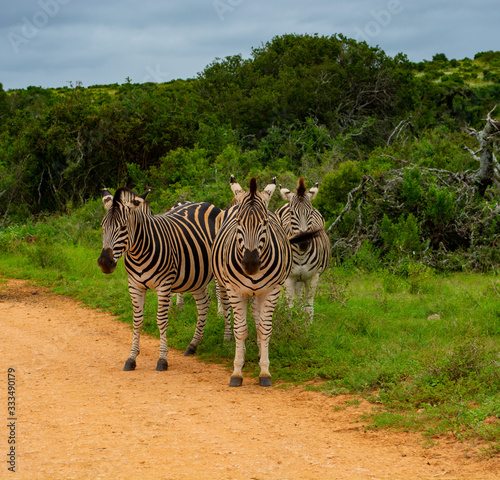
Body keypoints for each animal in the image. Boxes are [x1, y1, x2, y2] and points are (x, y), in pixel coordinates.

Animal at [97, 188, 230, 372]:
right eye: (103, 226)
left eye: (123, 227)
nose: (104, 263)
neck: (138, 253)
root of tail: (208, 204)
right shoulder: (135, 286)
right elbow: (137, 321)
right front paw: (131, 358)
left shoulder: (164, 285)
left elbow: (161, 320)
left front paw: (162, 359)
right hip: (196, 275)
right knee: (204, 303)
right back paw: (193, 344)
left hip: (220, 272)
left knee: (225, 302)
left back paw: (226, 340)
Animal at [213, 175, 322, 386]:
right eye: (238, 222)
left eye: (264, 223)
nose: (251, 264)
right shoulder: (236, 291)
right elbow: (240, 330)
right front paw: (237, 371)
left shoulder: (271, 291)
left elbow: (264, 329)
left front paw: (264, 370)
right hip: (226, 286)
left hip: (259, 292)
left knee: (257, 317)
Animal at [276, 176, 330, 318]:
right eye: (291, 213)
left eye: (310, 212)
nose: (304, 243)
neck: (301, 254)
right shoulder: (289, 278)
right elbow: (289, 306)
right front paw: (289, 321)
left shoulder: (314, 277)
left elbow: (309, 307)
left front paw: (306, 322)